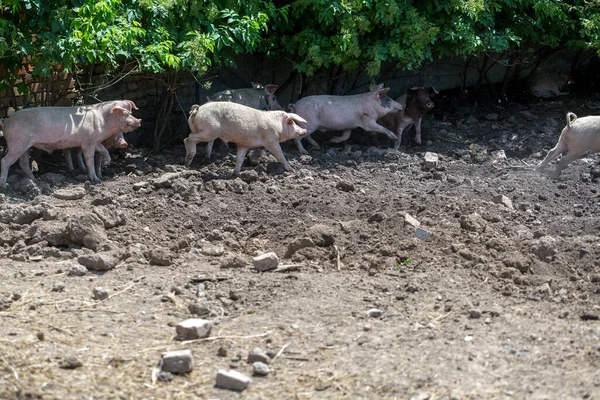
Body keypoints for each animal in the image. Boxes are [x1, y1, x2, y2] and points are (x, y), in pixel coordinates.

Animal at [0, 99, 140, 188]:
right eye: (124, 113)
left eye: (131, 112)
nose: (139, 121)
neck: (104, 120)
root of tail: (6, 122)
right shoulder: (88, 141)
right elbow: (89, 160)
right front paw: (96, 180)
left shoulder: (93, 141)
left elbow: (103, 149)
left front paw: (106, 162)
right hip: (17, 142)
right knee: (5, 161)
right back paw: (4, 186)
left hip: (25, 146)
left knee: (23, 163)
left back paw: (35, 181)